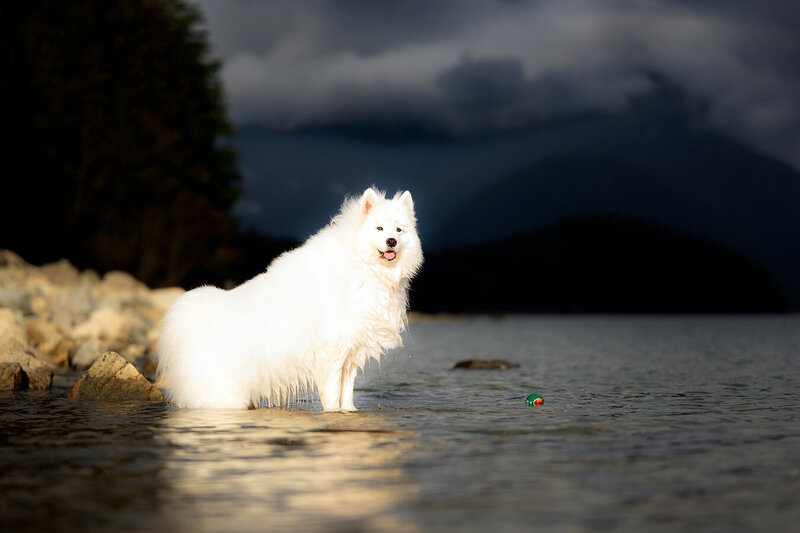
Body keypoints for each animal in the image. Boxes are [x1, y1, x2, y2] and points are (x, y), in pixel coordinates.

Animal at [153, 189, 422, 410]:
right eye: (379, 228)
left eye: (399, 230)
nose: (391, 242)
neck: (364, 266)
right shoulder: (332, 352)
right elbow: (332, 394)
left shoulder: (353, 352)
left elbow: (346, 394)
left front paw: (349, 413)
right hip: (225, 394)